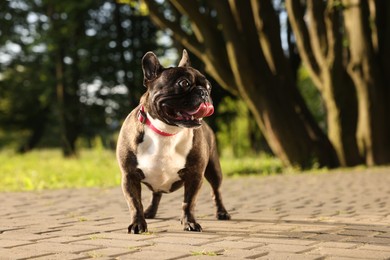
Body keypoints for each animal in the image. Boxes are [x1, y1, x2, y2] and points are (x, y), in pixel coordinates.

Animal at [117, 50, 230, 234]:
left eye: (209, 86)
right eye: (184, 83)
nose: (204, 92)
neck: (167, 131)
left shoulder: (195, 175)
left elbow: (188, 202)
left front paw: (189, 222)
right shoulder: (129, 176)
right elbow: (135, 203)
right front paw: (138, 224)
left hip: (214, 169)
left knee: (217, 191)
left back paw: (222, 212)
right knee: (156, 194)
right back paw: (150, 211)